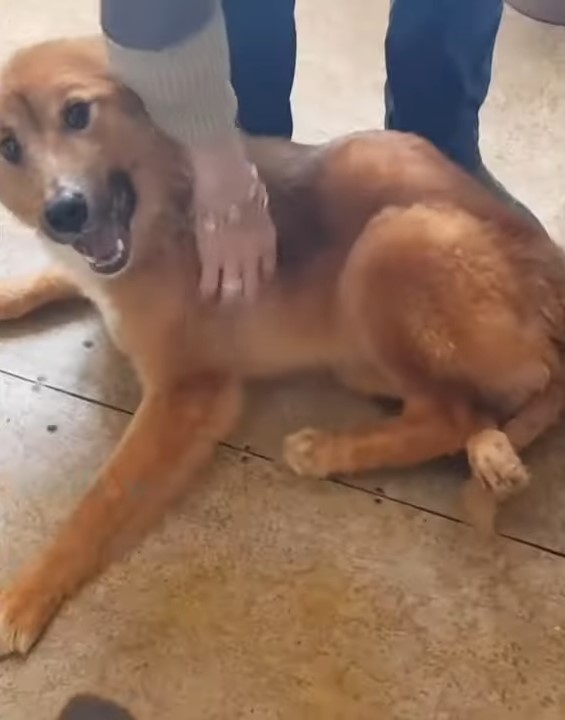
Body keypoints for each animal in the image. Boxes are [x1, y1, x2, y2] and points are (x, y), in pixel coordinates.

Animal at [1, 39, 564, 660]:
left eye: (77, 113)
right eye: (8, 146)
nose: (63, 212)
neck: (163, 207)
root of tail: (553, 278)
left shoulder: (190, 393)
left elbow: (100, 497)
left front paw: (27, 594)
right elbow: (41, 281)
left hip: (391, 242)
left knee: (455, 412)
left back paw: (328, 452)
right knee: (466, 411)